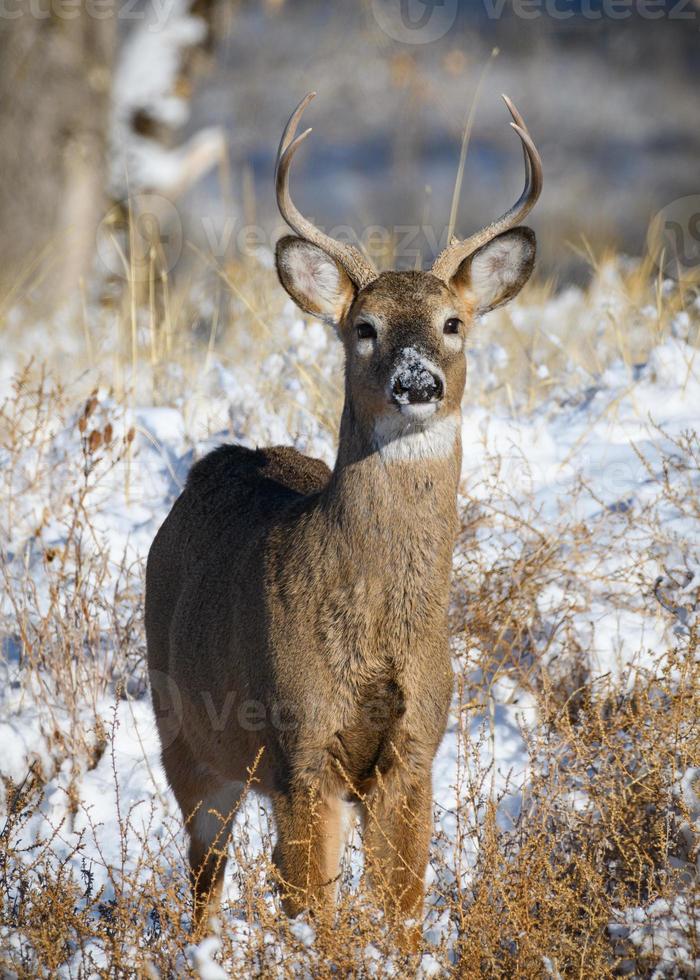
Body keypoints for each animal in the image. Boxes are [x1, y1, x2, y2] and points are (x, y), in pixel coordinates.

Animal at [146, 90, 540, 940]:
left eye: (453, 324)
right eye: (364, 329)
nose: (418, 382)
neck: (380, 625)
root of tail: (215, 461)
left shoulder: (415, 749)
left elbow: (401, 911)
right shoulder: (300, 744)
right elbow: (317, 917)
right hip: (185, 736)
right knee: (205, 875)